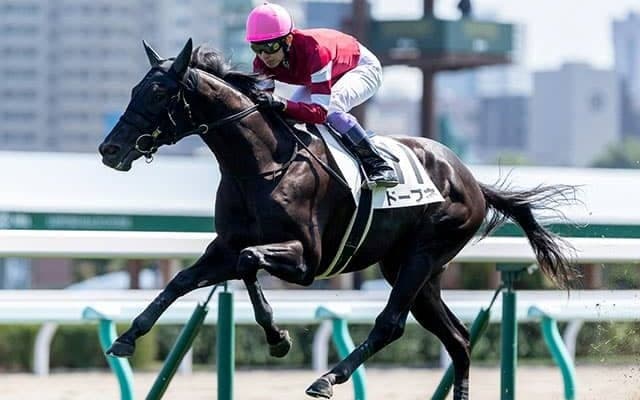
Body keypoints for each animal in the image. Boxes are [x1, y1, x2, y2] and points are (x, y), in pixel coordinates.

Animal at [98, 39, 576, 400]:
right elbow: (186, 279)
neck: (260, 165)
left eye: (159, 94)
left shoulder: (306, 260)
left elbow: (249, 262)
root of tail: (471, 179)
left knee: (390, 324)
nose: (109, 149)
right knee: (457, 339)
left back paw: (328, 377)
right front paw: (128, 336)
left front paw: (278, 337)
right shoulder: (225, 245)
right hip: (412, 269)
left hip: (424, 254)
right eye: (134, 89)